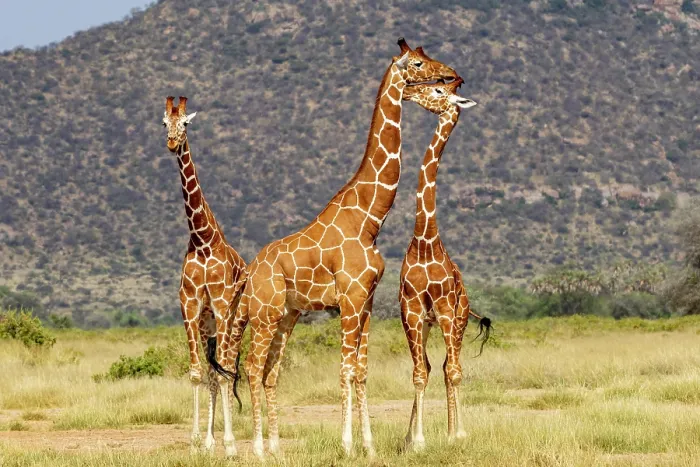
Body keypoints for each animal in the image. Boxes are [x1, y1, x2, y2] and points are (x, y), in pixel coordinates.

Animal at [227, 39, 459, 458]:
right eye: (418, 65)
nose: (450, 75)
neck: (368, 219)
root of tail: (250, 273)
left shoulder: (366, 301)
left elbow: (362, 369)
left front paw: (369, 445)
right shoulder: (349, 299)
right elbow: (346, 369)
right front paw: (347, 444)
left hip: (286, 316)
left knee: (269, 372)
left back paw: (276, 447)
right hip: (265, 314)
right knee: (251, 367)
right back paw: (257, 448)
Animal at [398, 79, 491, 450]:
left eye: (438, 92)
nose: (408, 93)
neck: (425, 241)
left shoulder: (444, 309)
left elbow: (453, 371)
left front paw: (457, 434)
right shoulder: (411, 308)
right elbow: (418, 373)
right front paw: (415, 440)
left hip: (459, 319)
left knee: (453, 365)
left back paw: (454, 432)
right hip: (428, 323)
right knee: (431, 365)